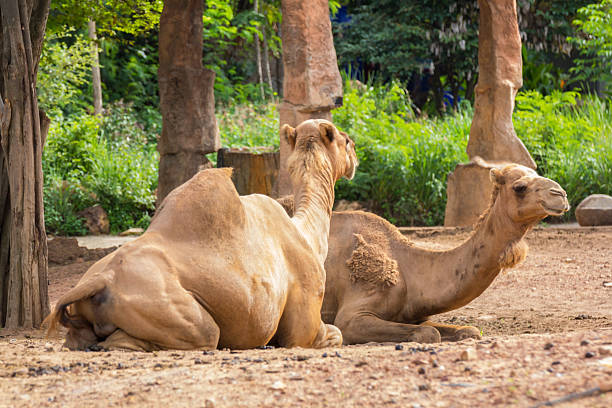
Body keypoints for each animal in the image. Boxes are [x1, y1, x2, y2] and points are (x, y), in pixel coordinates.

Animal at [46, 118, 358, 350]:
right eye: (345, 140)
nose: (355, 152)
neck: (307, 234)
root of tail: (99, 281)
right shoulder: (304, 323)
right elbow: (335, 333)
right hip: (170, 310)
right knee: (204, 333)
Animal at [280, 163, 572, 344]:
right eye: (520, 187)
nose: (561, 194)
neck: (410, 272)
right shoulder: (352, 315)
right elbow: (428, 334)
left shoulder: (418, 314)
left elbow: (468, 330)